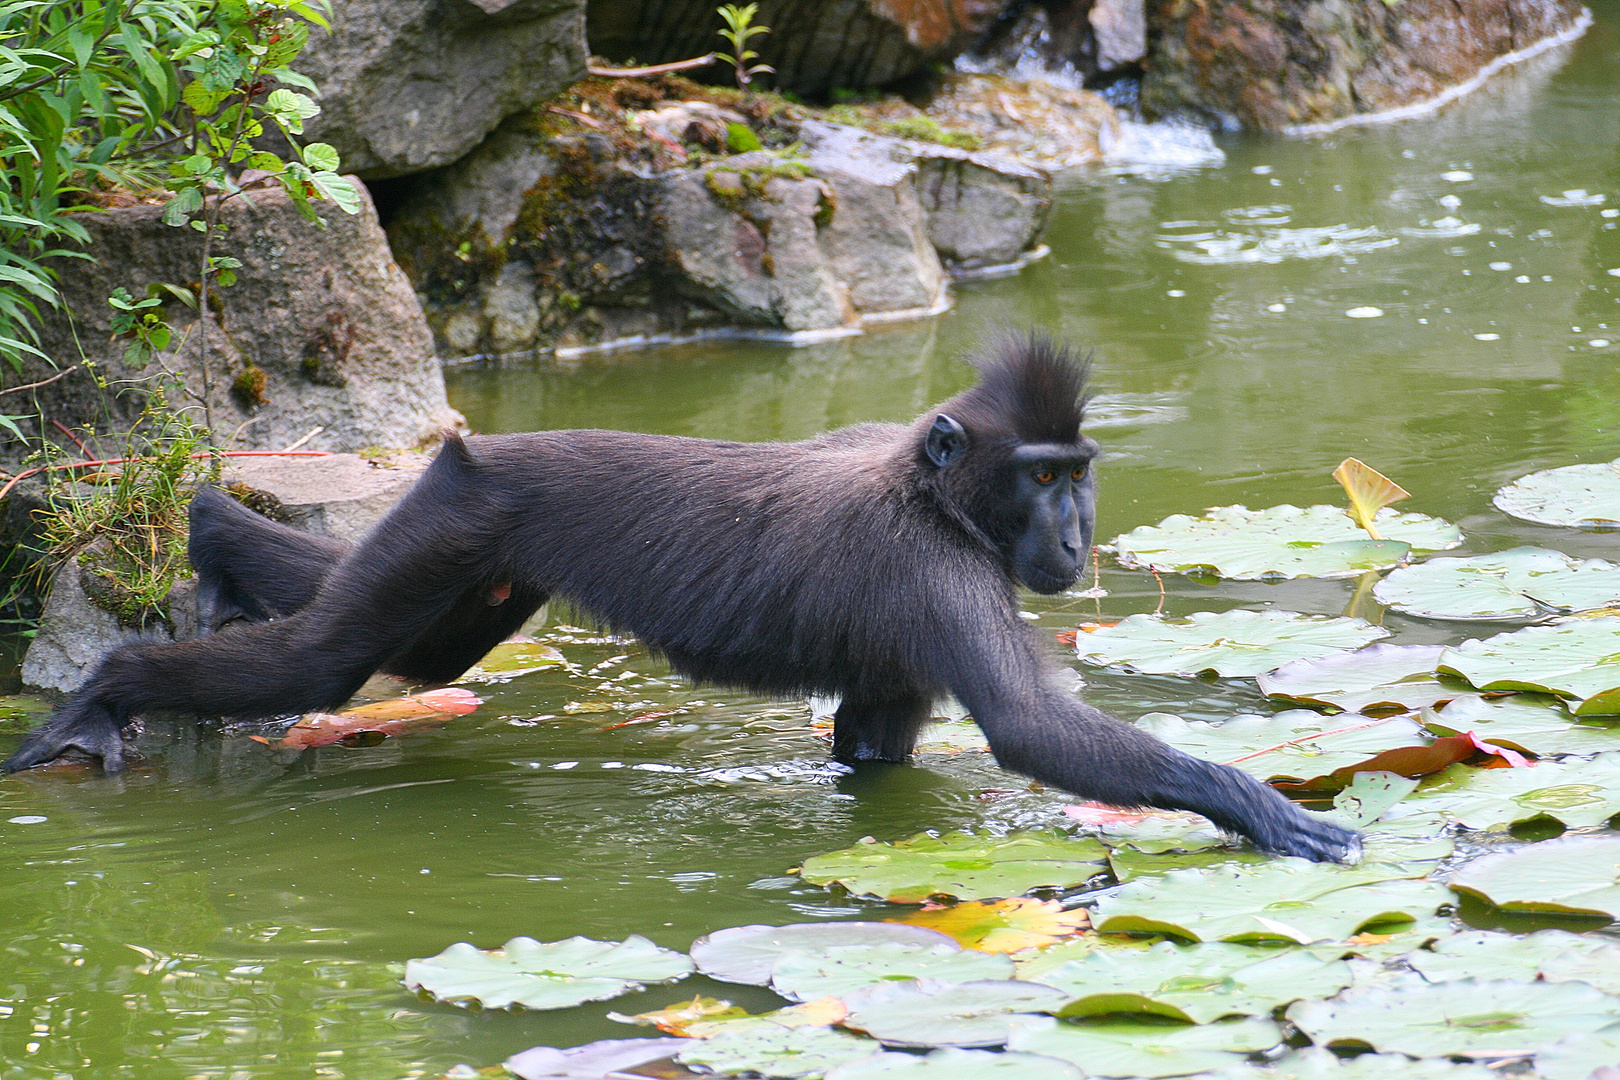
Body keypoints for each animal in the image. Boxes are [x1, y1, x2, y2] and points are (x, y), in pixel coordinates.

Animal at [6, 333, 1360, 867]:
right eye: (1041, 479)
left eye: (1078, 473)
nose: (1076, 532)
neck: (934, 497)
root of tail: (473, 455)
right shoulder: (940, 577)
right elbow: (1031, 732)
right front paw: (1255, 803)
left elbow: (869, 748)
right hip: (456, 526)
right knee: (325, 664)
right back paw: (113, 685)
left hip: (463, 557)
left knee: (405, 649)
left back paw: (214, 542)